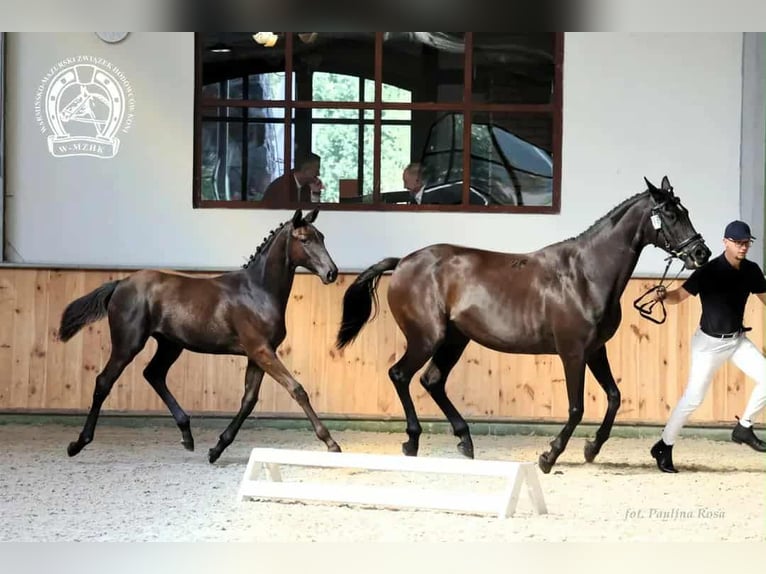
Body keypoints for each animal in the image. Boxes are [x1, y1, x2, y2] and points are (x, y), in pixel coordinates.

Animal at [59, 208, 341, 463]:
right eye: (304, 239)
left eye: (322, 237)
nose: (331, 272)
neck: (257, 291)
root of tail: (121, 283)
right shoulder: (261, 350)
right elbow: (297, 389)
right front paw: (331, 443)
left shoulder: (257, 354)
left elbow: (249, 400)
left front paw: (217, 449)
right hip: (127, 344)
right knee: (104, 382)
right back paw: (77, 444)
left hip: (170, 345)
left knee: (153, 374)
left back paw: (187, 434)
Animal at [336, 176, 711, 473]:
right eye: (671, 214)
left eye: (686, 211)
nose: (701, 254)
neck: (586, 274)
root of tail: (403, 262)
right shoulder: (572, 352)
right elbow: (577, 407)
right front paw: (549, 457)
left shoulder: (595, 350)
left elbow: (614, 397)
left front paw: (592, 448)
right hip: (427, 337)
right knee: (401, 375)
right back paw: (412, 442)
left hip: (455, 339)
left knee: (432, 381)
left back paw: (465, 442)